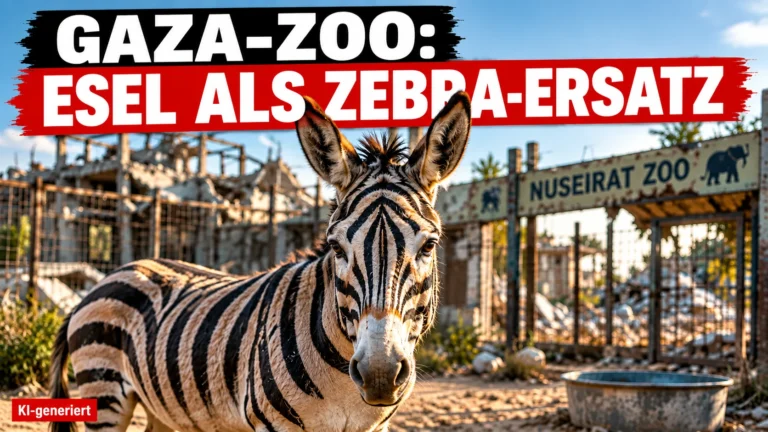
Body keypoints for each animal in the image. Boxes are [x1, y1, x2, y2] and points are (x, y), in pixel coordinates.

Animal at [48, 90, 472, 432]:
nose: (380, 376)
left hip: (159, 408)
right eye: (336, 248)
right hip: (103, 390)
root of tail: (108, 278)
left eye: (429, 246)